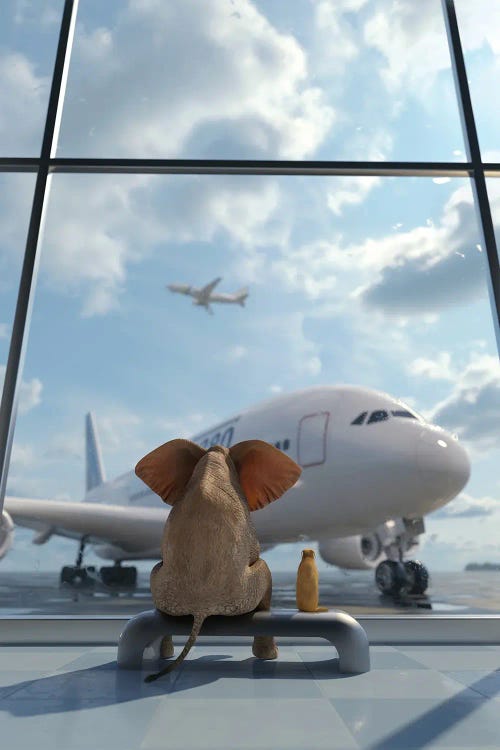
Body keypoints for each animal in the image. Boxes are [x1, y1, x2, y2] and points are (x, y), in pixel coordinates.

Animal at [134, 438, 300, 684]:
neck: (215, 456)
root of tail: (201, 609)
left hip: (162, 587)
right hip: (243, 592)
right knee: (265, 577)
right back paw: (269, 656)